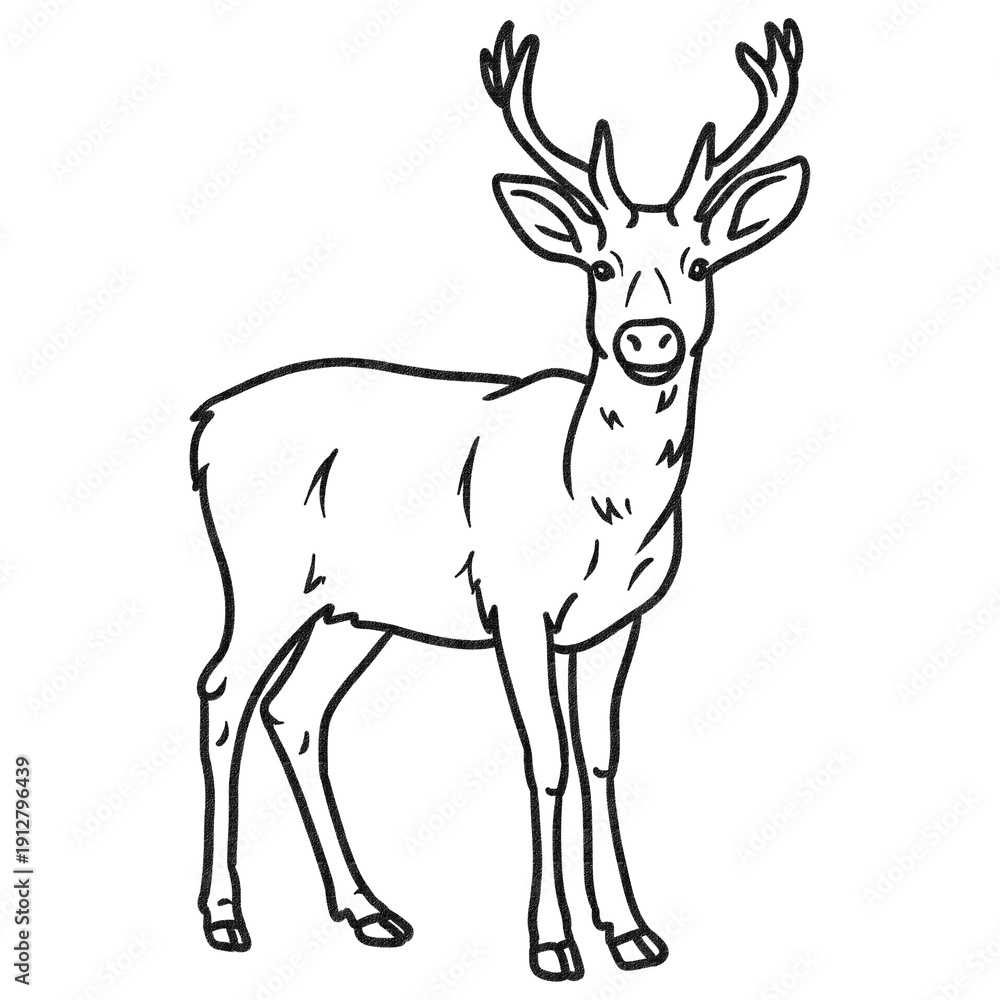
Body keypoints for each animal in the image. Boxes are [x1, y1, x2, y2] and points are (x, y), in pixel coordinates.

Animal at [191, 19, 809, 982]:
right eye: (602, 264)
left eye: (699, 261)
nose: (650, 339)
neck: (599, 506)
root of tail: (204, 425)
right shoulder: (515, 605)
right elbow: (545, 759)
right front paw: (553, 943)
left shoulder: (617, 619)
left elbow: (601, 757)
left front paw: (632, 932)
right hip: (264, 577)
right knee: (222, 692)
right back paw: (225, 918)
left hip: (355, 609)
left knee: (296, 711)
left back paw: (369, 910)